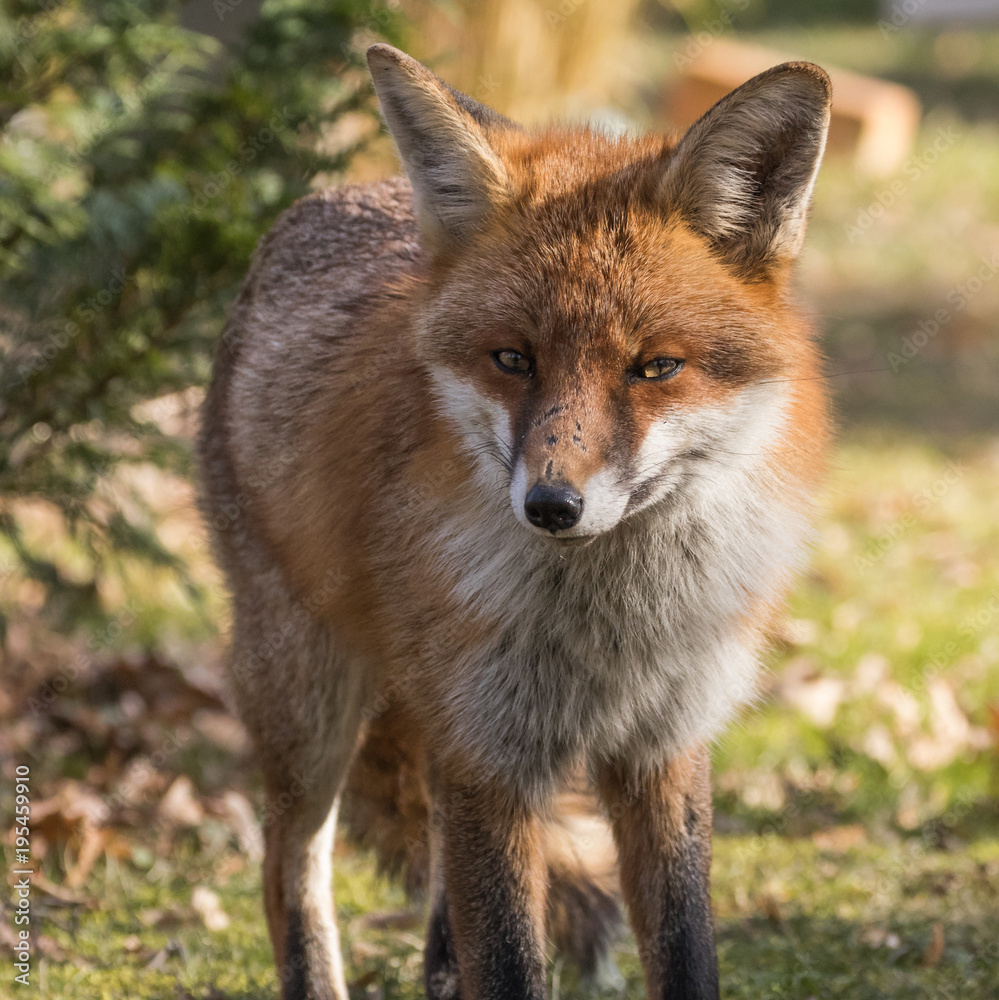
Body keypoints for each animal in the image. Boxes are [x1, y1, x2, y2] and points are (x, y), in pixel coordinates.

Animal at [199, 42, 832, 1000]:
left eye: (655, 367)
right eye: (511, 359)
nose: (550, 507)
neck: (612, 632)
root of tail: (328, 200)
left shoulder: (663, 748)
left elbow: (684, 950)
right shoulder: (490, 756)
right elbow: (506, 960)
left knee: (434, 913)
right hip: (309, 702)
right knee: (286, 871)